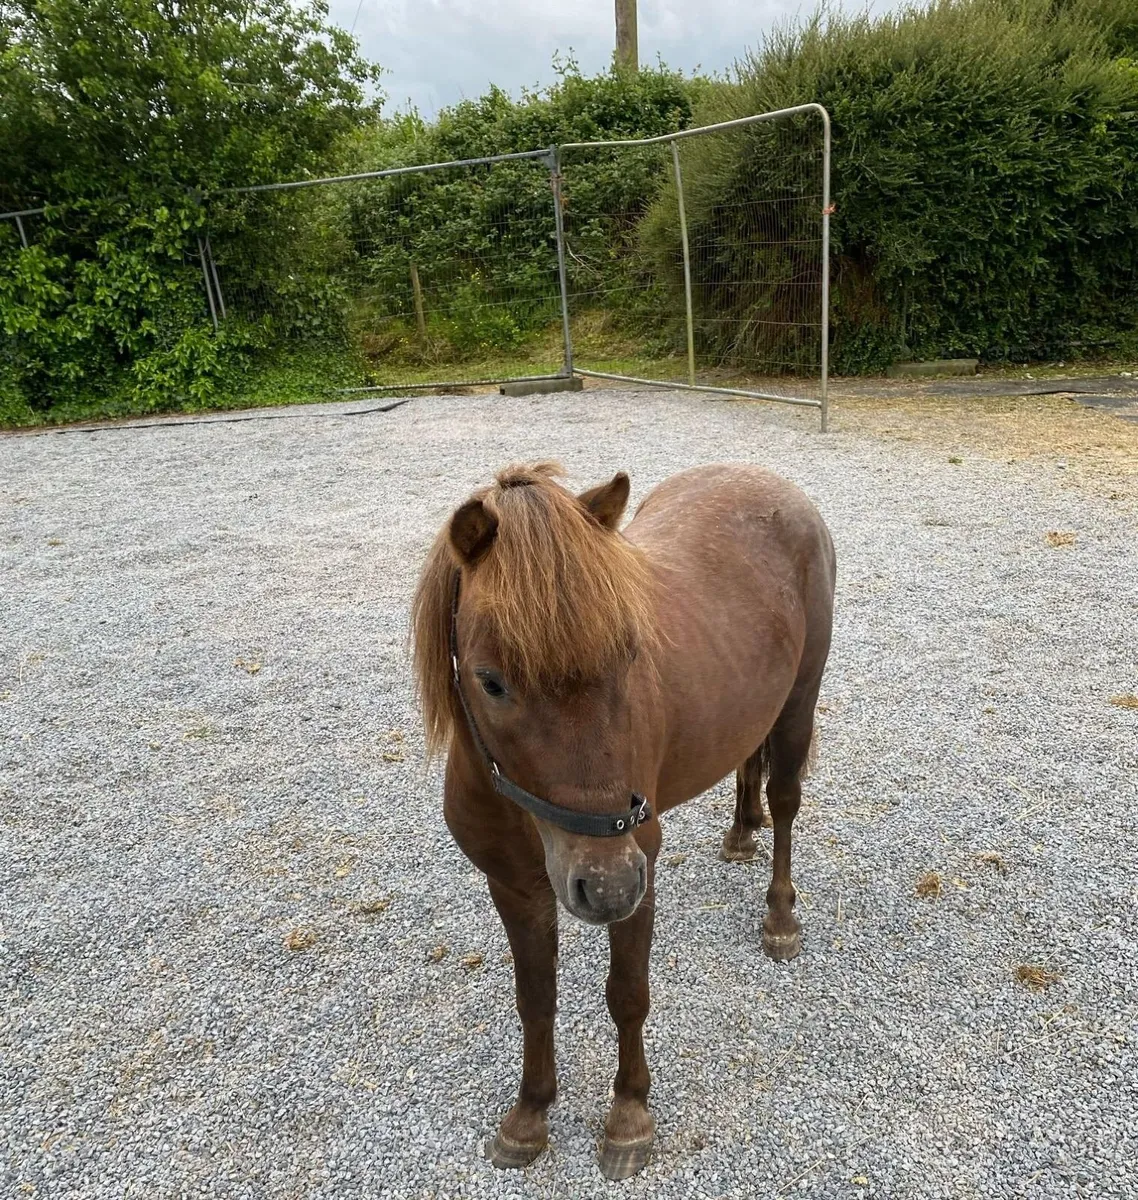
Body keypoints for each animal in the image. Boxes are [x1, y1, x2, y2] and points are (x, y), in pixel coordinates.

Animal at [411, 461, 835, 1179]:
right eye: (491, 681)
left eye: (631, 651)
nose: (605, 885)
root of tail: (770, 481)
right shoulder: (513, 886)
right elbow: (535, 999)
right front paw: (529, 1116)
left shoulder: (640, 873)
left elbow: (628, 993)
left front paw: (629, 1116)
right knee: (747, 762)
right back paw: (740, 830)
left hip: (799, 702)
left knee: (785, 802)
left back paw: (779, 915)